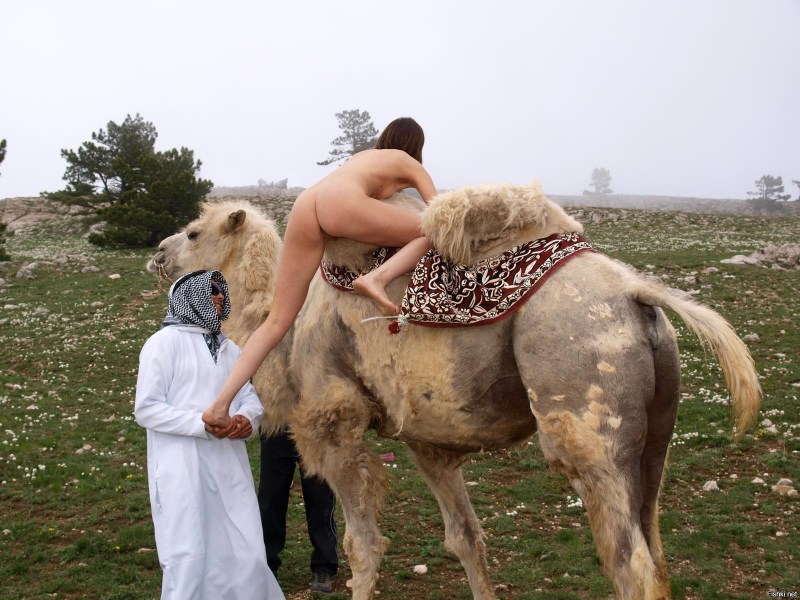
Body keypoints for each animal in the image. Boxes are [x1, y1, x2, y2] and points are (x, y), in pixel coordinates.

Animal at [147, 183, 761, 600]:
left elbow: (363, 545)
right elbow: (465, 537)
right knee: (655, 548)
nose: (157, 253)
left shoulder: (333, 415)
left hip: (586, 413)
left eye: (195, 232)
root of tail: (637, 293)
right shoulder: (426, 440)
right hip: (655, 433)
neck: (285, 318)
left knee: (628, 562)